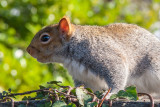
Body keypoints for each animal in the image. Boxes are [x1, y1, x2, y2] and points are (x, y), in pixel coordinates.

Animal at [26, 16, 160, 98]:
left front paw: (110, 94)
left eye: (45, 38)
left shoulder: (106, 57)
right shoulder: (83, 79)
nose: (28, 50)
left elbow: (117, 76)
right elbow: (83, 89)